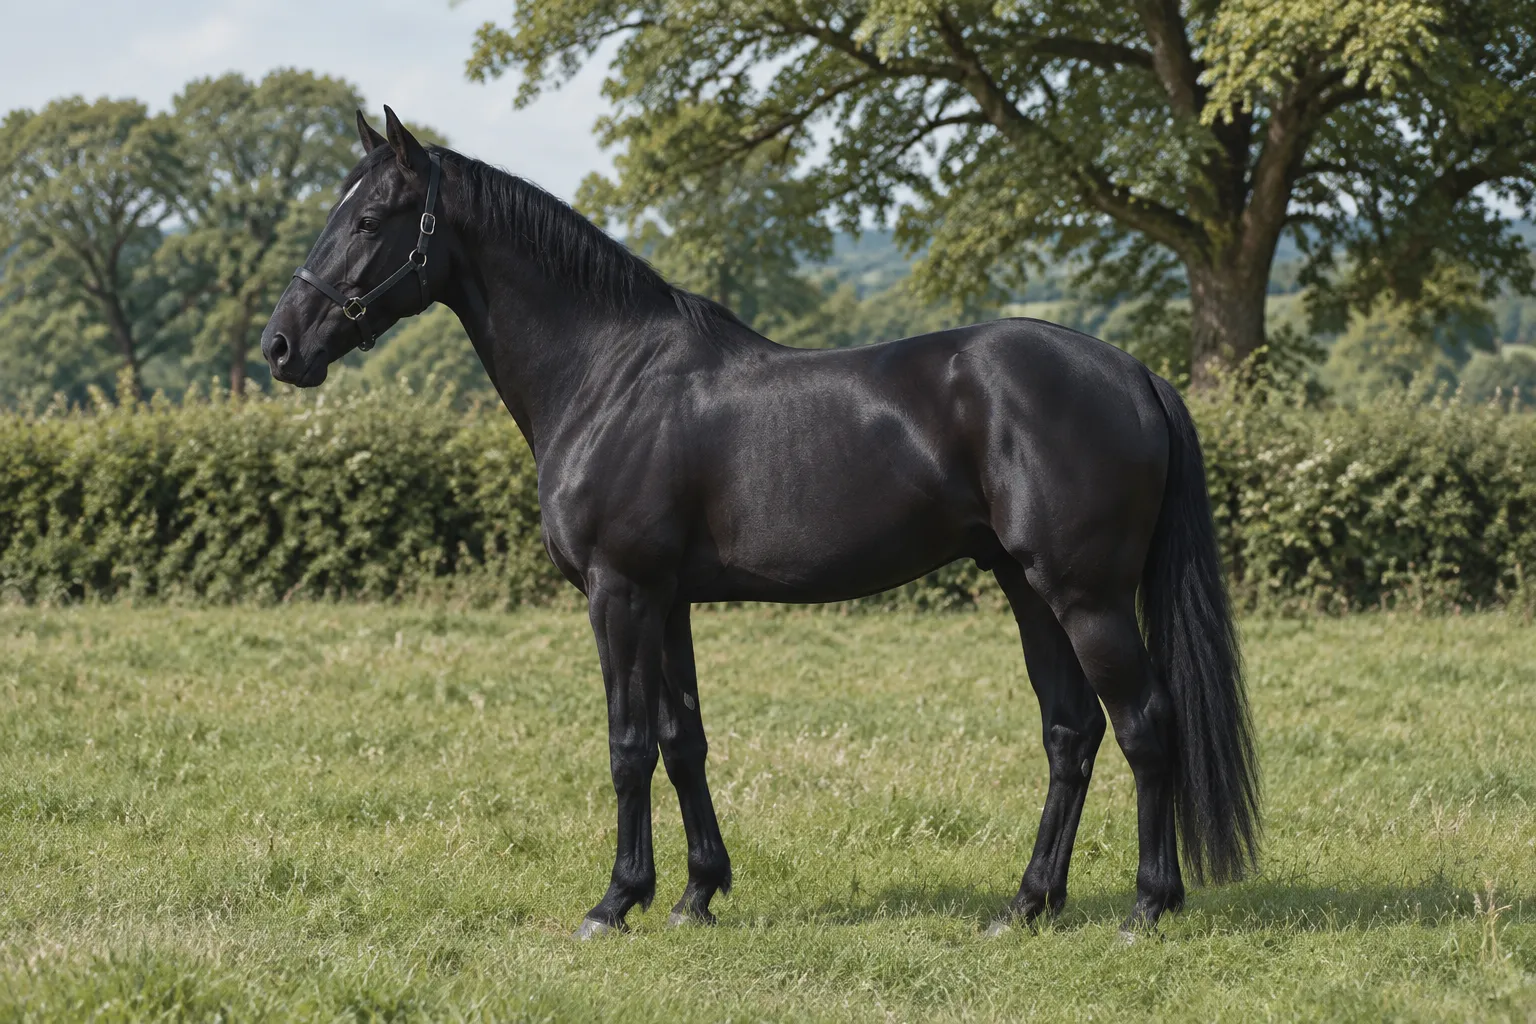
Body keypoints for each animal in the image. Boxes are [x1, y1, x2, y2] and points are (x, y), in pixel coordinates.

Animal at [260, 107, 1259, 940]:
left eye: (367, 221)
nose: (280, 345)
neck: (608, 375)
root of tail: (1133, 374)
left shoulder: (618, 594)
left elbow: (627, 747)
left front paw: (615, 902)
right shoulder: (666, 601)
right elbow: (683, 743)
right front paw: (697, 893)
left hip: (1087, 597)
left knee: (1144, 726)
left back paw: (1147, 906)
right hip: (1029, 589)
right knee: (1070, 734)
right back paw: (1027, 905)